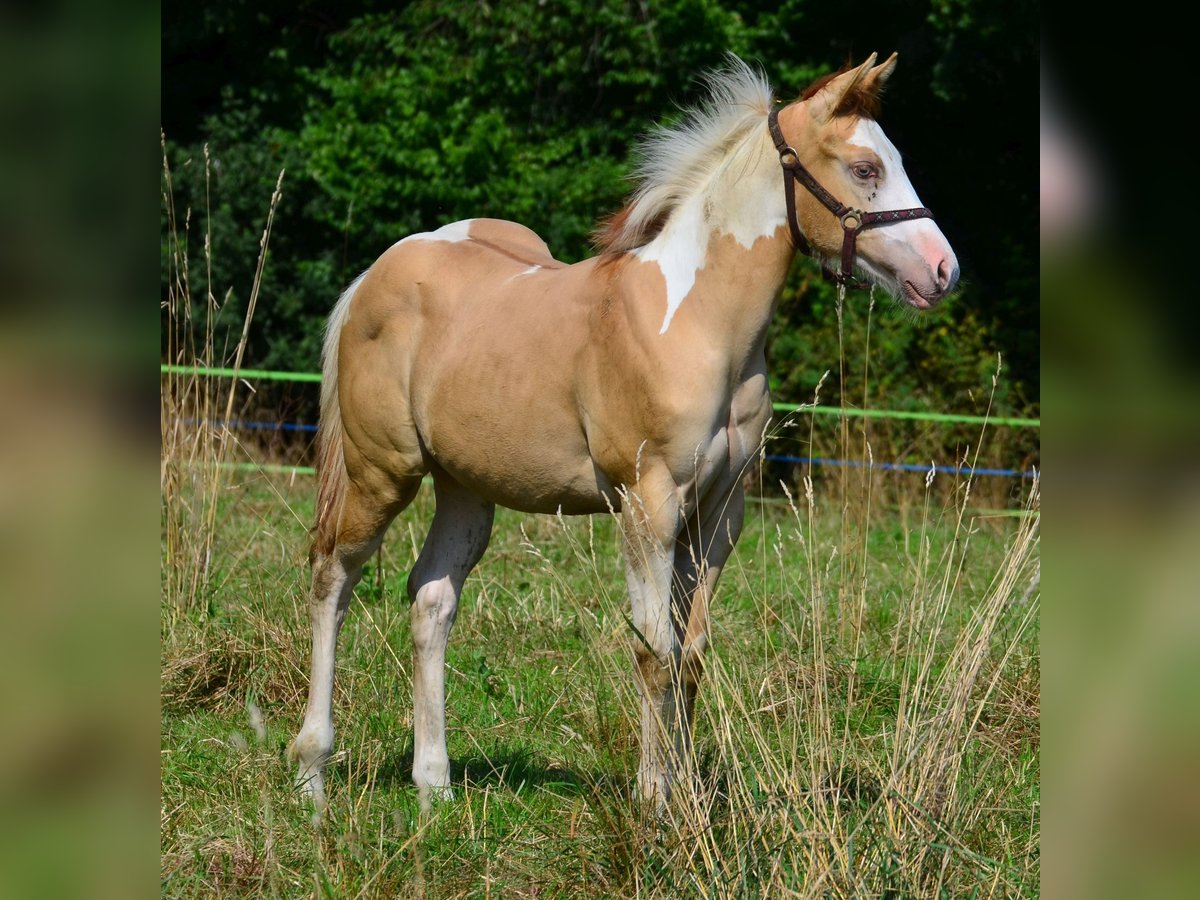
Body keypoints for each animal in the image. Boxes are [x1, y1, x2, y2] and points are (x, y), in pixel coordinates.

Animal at [289, 52, 959, 812]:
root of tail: (375, 275)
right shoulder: (648, 504)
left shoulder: (720, 513)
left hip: (465, 486)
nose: (943, 270)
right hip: (381, 470)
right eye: (865, 168)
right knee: (332, 578)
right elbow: (652, 649)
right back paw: (312, 772)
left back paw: (434, 784)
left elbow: (692, 652)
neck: (696, 321)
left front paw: (688, 796)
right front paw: (654, 800)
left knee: (432, 599)